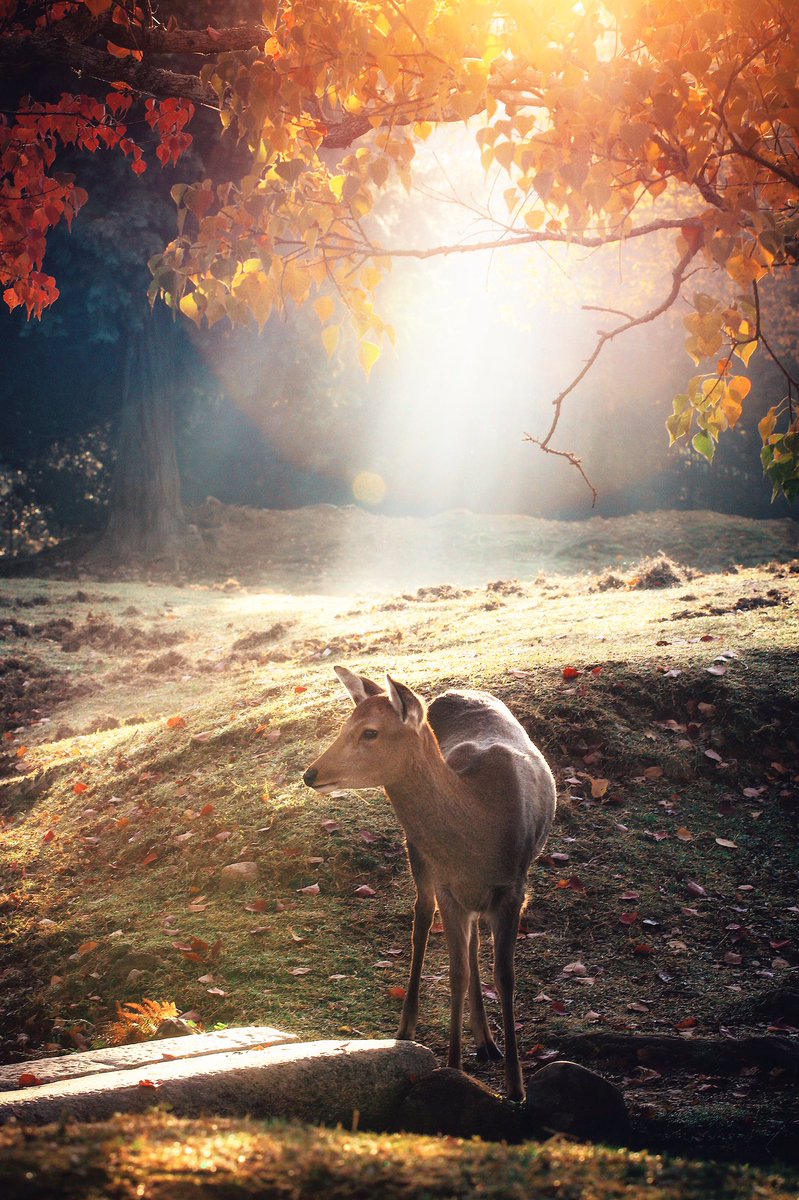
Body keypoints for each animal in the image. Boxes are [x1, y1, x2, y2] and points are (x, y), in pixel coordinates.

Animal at [302, 666, 557, 1102]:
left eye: (370, 732)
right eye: (345, 724)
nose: (310, 774)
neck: (481, 822)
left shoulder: (513, 888)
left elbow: (504, 976)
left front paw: (516, 1086)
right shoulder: (448, 888)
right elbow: (456, 974)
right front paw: (454, 1069)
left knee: (473, 942)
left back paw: (487, 1042)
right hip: (419, 854)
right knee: (422, 917)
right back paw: (410, 1028)